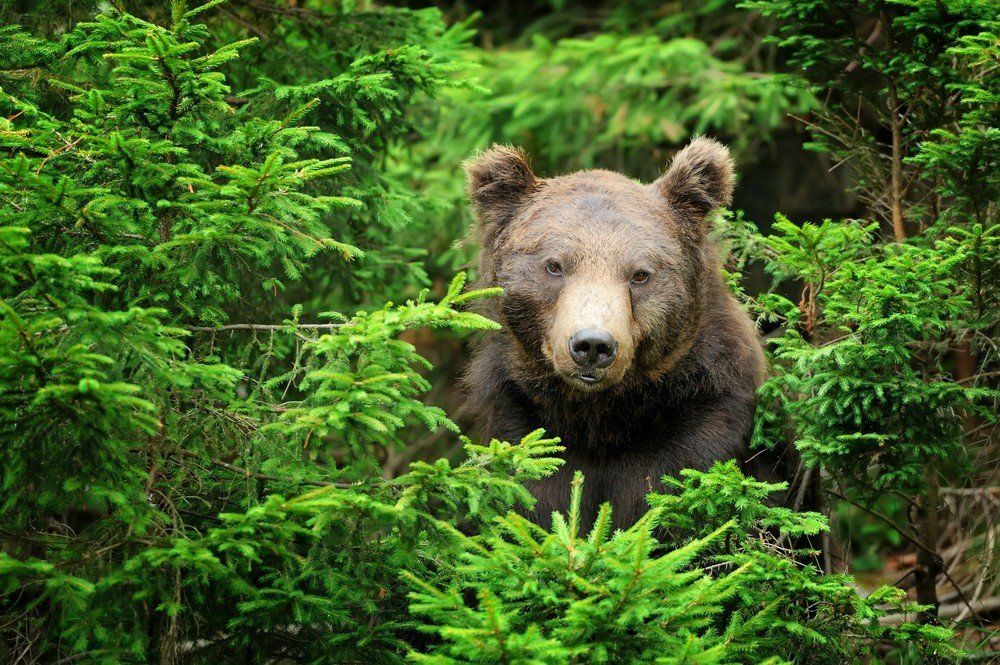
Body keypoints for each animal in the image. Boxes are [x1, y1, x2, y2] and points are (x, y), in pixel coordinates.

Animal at [460, 137, 790, 530]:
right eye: (554, 266)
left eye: (640, 274)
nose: (592, 345)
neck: (606, 419)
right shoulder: (521, 420)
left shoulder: (704, 427)